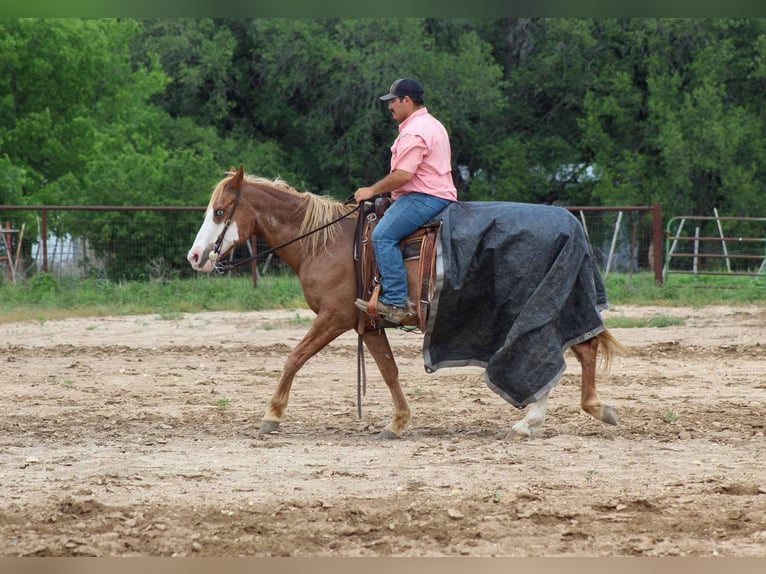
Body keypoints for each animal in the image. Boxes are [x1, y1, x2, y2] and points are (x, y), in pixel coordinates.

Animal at [186, 165, 623, 440]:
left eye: (220, 211)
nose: (195, 256)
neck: (325, 243)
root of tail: (572, 224)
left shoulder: (334, 317)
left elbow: (294, 358)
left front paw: (271, 415)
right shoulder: (366, 323)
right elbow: (389, 371)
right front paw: (398, 422)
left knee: (558, 353)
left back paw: (543, 418)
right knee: (573, 351)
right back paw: (555, 416)